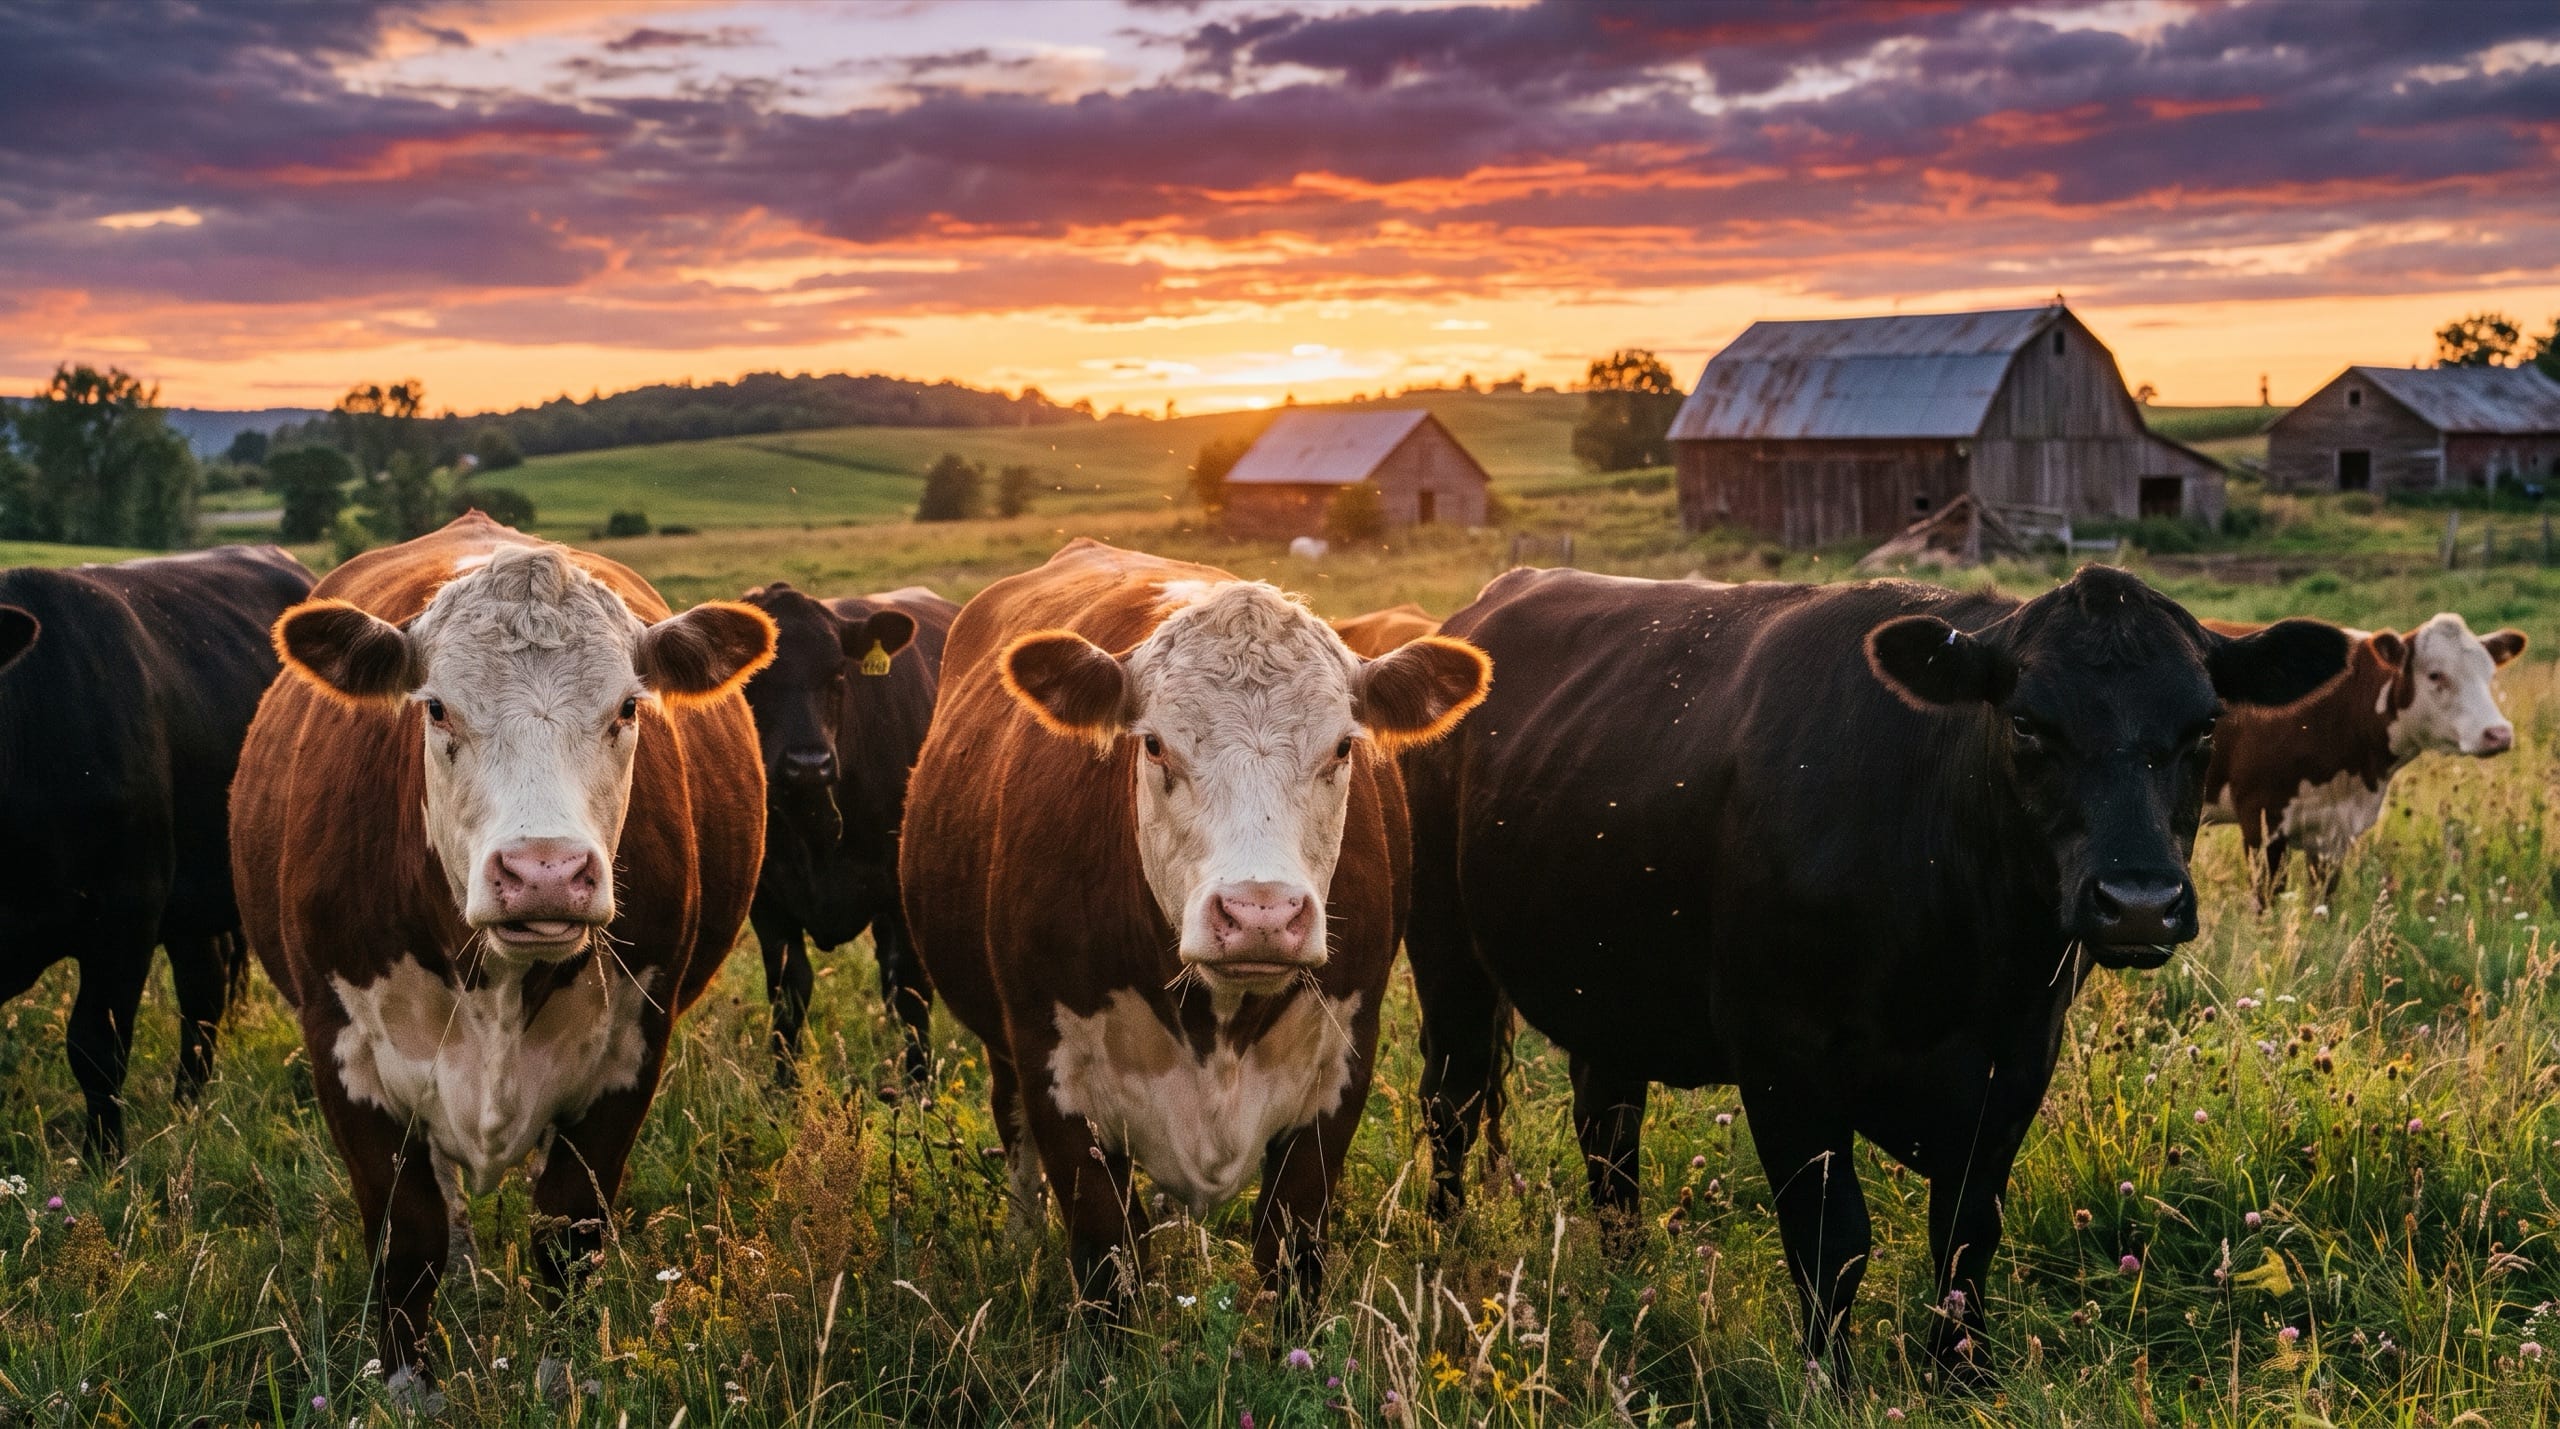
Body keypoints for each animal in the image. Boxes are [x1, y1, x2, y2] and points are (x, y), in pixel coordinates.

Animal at [232, 513, 772, 1384]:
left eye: (628, 706)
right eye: (437, 709)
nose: (543, 871)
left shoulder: (633, 1047)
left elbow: (568, 1232)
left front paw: (564, 1375)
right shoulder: (340, 1048)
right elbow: (407, 1236)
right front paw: (407, 1384)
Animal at [737, 582, 958, 1088]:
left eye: (838, 672)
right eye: (755, 678)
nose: (808, 764)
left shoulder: (899, 887)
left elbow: (914, 987)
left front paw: (920, 1088)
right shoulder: (768, 899)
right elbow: (788, 992)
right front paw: (784, 1089)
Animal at [901, 538, 1490, 1314]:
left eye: (1342, 748)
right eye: (1153, 745)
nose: (1261, 913)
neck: (1219, 1023)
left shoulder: (1340, 1070)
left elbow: (1291, 1253)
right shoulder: (1053, 1073)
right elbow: (1108, 1263)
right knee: (1012, 1125)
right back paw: (1019, 1241)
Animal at [1402, 565, 2346, 1381]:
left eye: (2206, 726)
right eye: (2027, 724)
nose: (2140, 899)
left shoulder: (2016, 1061)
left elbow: (1966, 1230)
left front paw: (1961, 1374)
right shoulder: (1782, 1059)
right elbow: (1833, 1240)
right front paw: (1835, 1381)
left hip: (1609, 987)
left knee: (1607, 1127)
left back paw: (1628, 1270)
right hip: (1445, 950)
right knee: (1453, 1100)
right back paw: (1447, 1250)